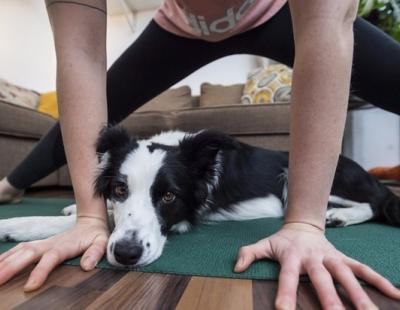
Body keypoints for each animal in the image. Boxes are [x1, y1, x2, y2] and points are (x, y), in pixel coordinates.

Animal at [0, 126, 400, 266]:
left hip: (310, 177)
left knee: (376, 203)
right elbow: (109, 211)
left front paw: (17, 225)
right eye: (119, 188)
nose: (127, 255)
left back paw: (340, 216)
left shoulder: (184, 216)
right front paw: (70, 208)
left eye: (168, 197)